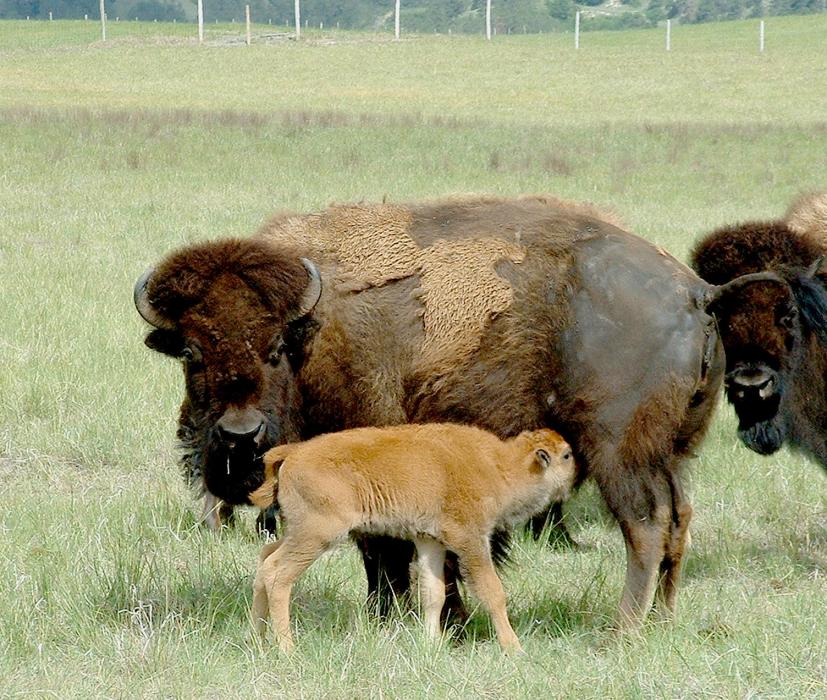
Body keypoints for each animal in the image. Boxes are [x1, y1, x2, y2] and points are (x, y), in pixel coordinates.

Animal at [135, 195, 776, 628]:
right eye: (191, 352)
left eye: (273, 348)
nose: (239, 434)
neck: (313, 329)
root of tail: (695, 292)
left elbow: (381, 545)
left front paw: (407, 618)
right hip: (674, 451)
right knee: (678, 521)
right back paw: (662, 620)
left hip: (621, 451)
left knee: (646, 525)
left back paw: (623, 630)